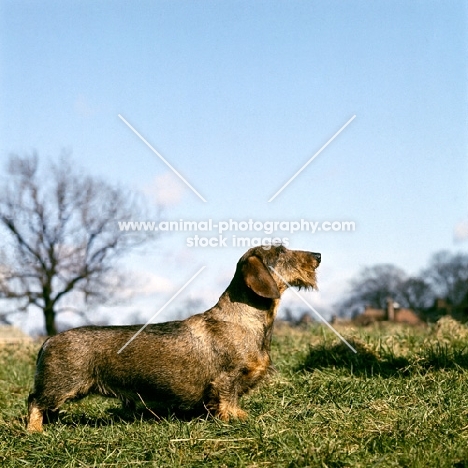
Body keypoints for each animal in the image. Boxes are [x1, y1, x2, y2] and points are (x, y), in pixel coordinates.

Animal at [27, 245, 320, 432]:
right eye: (280, 251)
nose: (318, 255)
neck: (243, 319)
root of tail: (48, 341)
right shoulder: (226, 379)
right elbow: (227, 401)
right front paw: (233, 420)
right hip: (61, 386)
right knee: (34, 402)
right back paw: (35, 432)